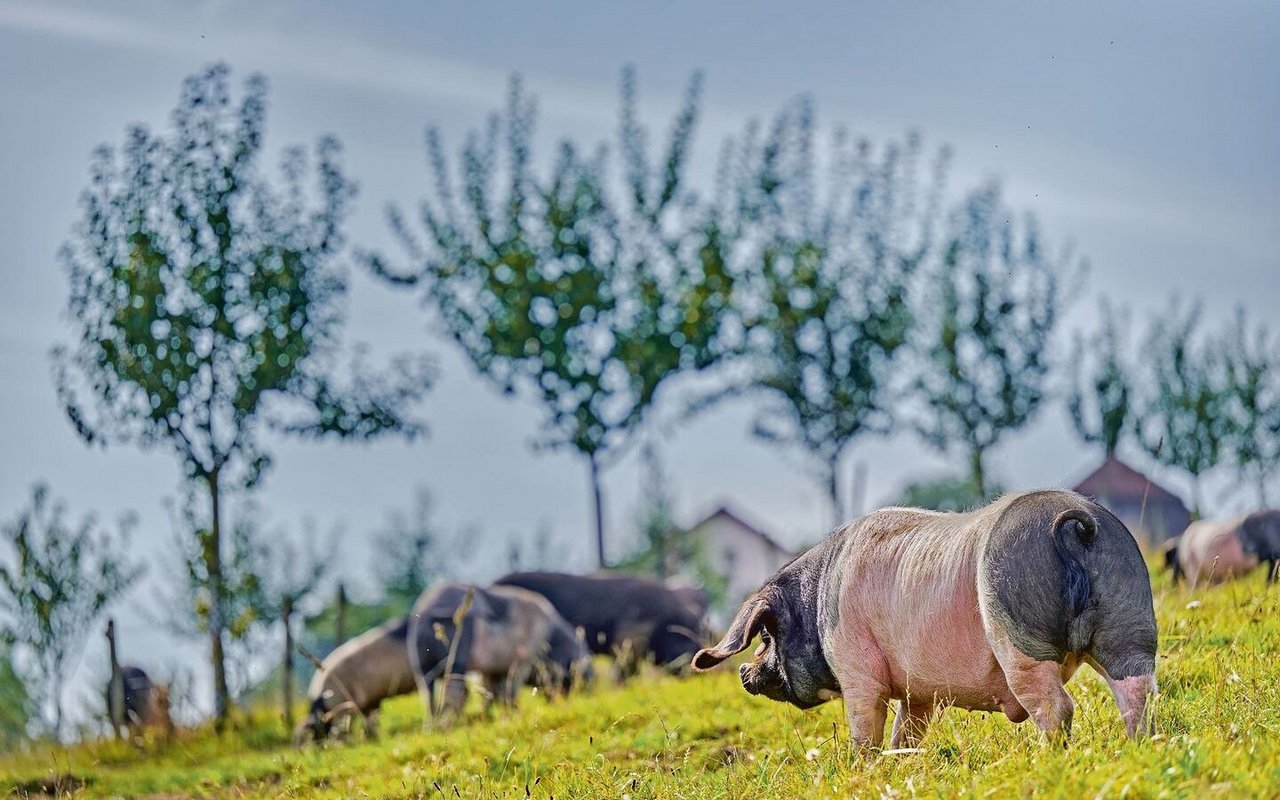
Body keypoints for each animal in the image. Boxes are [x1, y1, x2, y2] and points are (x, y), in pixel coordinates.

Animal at [407, 581, 591, 716]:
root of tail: (433, 609)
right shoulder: (524, 658)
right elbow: (509, 689)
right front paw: (514, 712)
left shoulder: (491, 669)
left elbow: (491, 691)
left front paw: (489, 715)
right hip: (458, 656)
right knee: (455, 691)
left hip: (419, 659)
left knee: (428, 692)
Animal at [691, 486, 1162, 747]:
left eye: (766, 637)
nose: (744, 672)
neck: (818, 601)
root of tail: (1074, 522)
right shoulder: (918, 690)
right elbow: (907, 732)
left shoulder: (857, 670)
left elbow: (866, 731)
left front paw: (863, 769)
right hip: (1130, 617)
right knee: (1137, 688)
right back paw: (1140, 745)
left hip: (1016, 632)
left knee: (1056, 707)